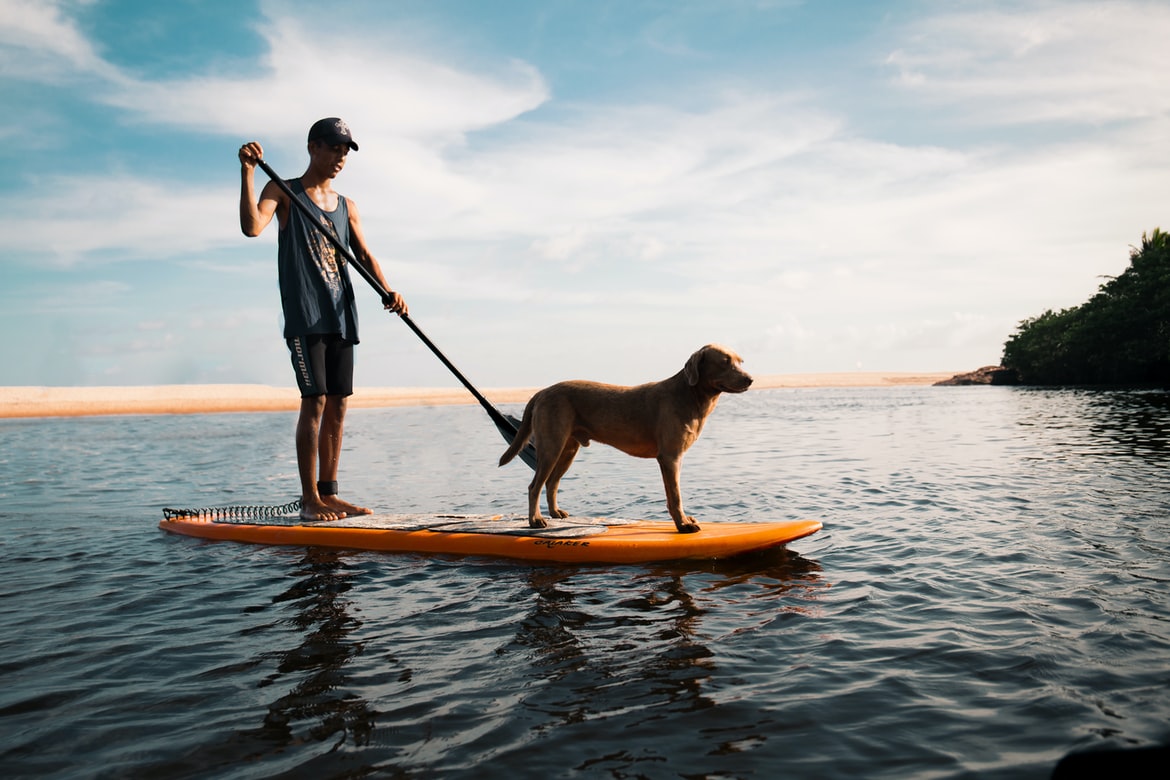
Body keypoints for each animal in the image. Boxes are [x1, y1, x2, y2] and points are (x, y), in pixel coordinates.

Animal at [498, 343, 753, 533]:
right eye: (724, 362)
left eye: (740, 361)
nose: (750, 379)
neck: (691, 396)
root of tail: (542, 391)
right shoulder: (670, 456)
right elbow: (675, 496)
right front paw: (683, 525)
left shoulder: (672, 458)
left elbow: (673, 495)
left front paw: (684, 521)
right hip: (552, 445)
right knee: (535, 486)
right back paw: (535, 520)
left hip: (568, 448)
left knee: (551, 482)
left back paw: (555, 513)